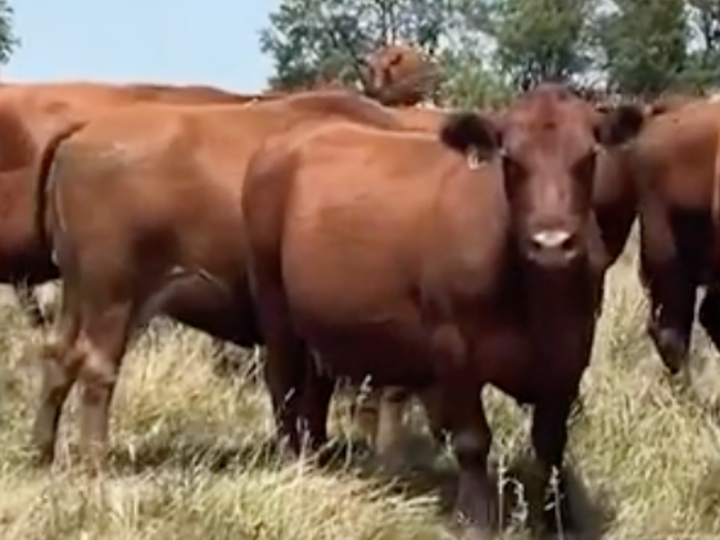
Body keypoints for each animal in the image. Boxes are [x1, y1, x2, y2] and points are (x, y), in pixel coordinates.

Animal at [31, 88, 452, 472]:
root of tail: (80, 135)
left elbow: (315, 395)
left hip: (78, 293)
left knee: (58, 355)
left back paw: (43, 452)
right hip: (113, 297)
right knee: (97, 365)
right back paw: (95, 463)